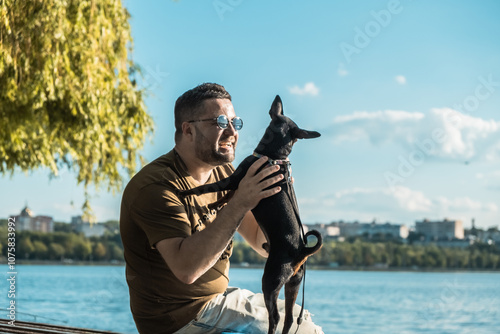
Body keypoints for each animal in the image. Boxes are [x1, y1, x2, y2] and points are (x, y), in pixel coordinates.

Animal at [182, 94, 322, 334]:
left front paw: (188, 192)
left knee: (275, 316)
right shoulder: (238, 184)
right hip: (293, 284)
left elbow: (211, 187)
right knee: (289, 319)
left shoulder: (235, 178)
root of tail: (301, 250)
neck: (273, 156)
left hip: (271, 280)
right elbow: (226, 198)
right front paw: (214, 205)